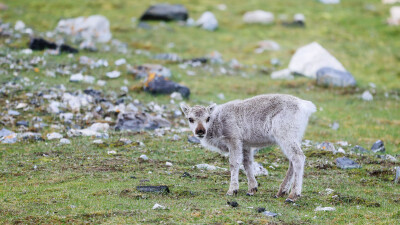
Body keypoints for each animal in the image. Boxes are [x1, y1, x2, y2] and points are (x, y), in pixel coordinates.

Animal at [181, 93, 316, 202]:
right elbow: (247, 163)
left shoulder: (234, 139)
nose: (200, 131)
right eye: (190, 119)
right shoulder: (245, 144)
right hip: (295, 136)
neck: (217, 122)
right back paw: (281, 192)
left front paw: (232, 190)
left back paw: (293, 195)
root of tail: (305, 106)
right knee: (292, 160)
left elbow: (234, 163)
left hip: (285, 133)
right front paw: (252, 188)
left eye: (207, 118)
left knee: (298, 157)